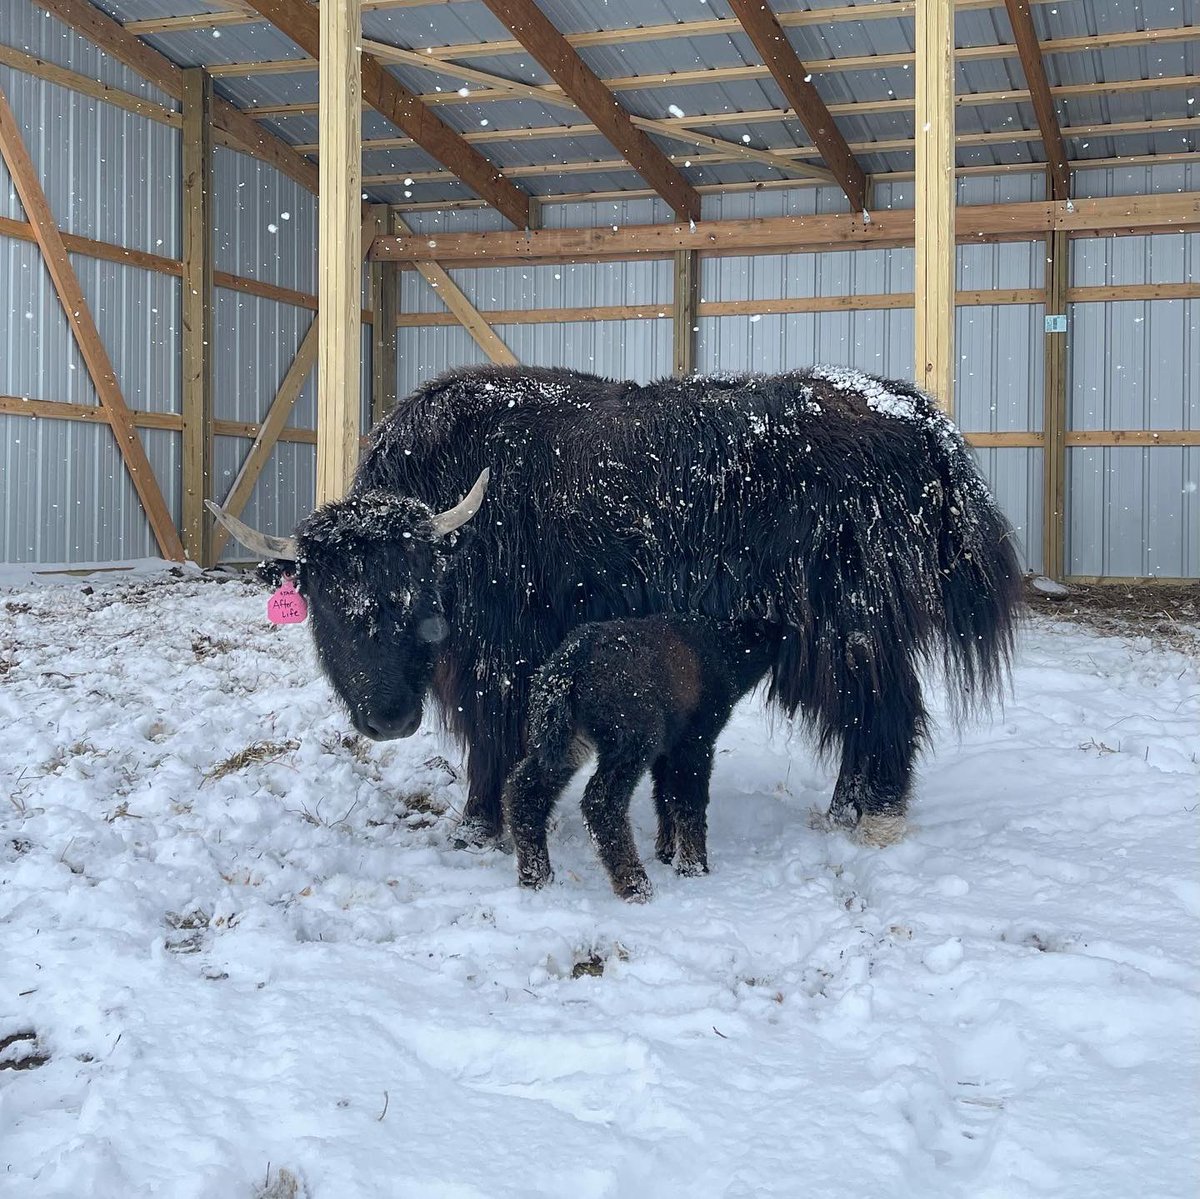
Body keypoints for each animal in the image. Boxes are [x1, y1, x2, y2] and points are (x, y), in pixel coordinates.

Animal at [208, 364, 1022, 849]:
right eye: (327, 602)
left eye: (414, 594)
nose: (388, 720)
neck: (456, 531)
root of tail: (915, 415)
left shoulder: (499, 664)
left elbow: (491, 741)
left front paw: (477, 825)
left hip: (850, 624)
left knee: (884, 707)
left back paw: (869, 816)